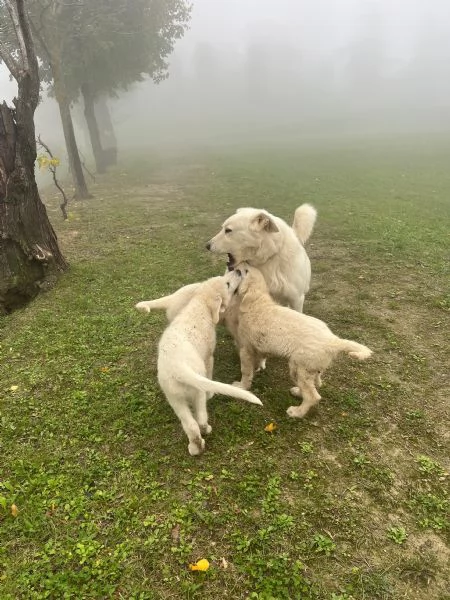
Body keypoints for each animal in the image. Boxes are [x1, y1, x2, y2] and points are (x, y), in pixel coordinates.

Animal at [154, 270, 262, 454]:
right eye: (227, 284)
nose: (238, 271)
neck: (200, 304)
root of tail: (179, 368)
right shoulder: (209, 356)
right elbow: (210, 371)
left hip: (174, 397)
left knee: (190, 425)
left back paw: (195, 446)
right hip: (197, 391)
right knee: (201, 418)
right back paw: (206, 429)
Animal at [234, 264, 370, 420]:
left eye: (245, 272)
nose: (235, 266)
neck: (257, 302)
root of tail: (333, 341)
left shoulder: (245, 348)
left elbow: (245, 371)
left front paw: (241, 386)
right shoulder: (258, 345)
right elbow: (259, 359)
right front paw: (258, 367)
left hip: (300, 367)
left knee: (313, 396)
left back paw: (297, 412)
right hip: (310, 368)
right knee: (317, 383)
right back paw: (298, 392)